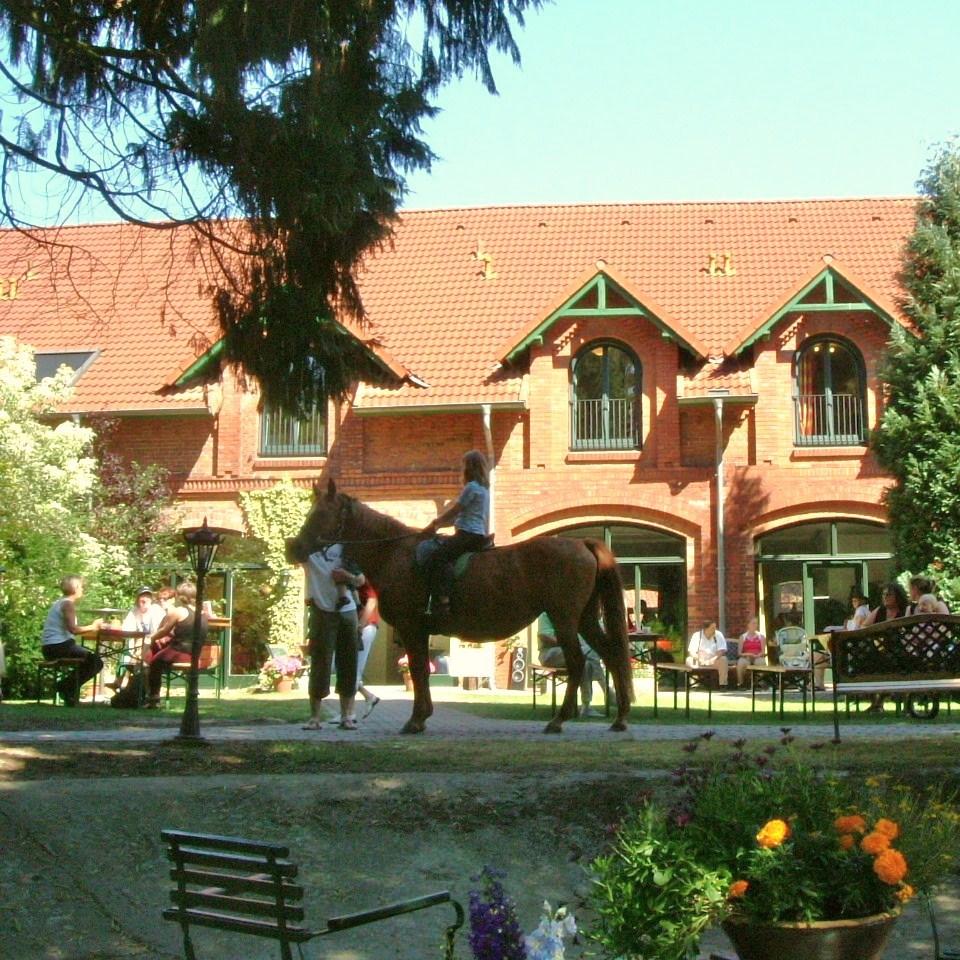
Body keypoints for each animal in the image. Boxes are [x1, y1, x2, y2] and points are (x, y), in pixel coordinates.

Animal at [284, 480, 632, 736]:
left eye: (320, 514)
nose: (293, 548)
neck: (395, 553)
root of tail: (580, 543)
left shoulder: (411, 628)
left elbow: (419, 672)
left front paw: (416, 719)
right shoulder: (419, 632)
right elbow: (422, 672)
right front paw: (422, 716)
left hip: (565, 619)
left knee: (577, 663)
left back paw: (559, 720)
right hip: (585, 619)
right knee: (611, 655)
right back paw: (620, 718)